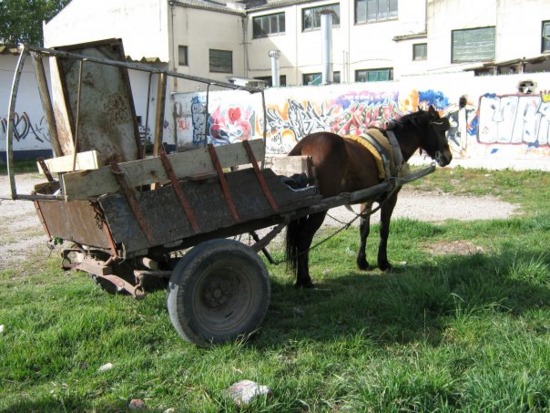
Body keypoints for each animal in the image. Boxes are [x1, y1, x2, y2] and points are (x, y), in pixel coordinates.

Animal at [286, 105, 454, 286]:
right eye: (441, 130)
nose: (448, 157)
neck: (393, 145)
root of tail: (303, 145)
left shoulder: (367, 199)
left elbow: (364, 229)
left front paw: (362, 262)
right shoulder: (390, 198)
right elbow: (384, 229)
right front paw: (384, 263)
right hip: (319, 210)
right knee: (304, 237)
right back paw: (304, 279)